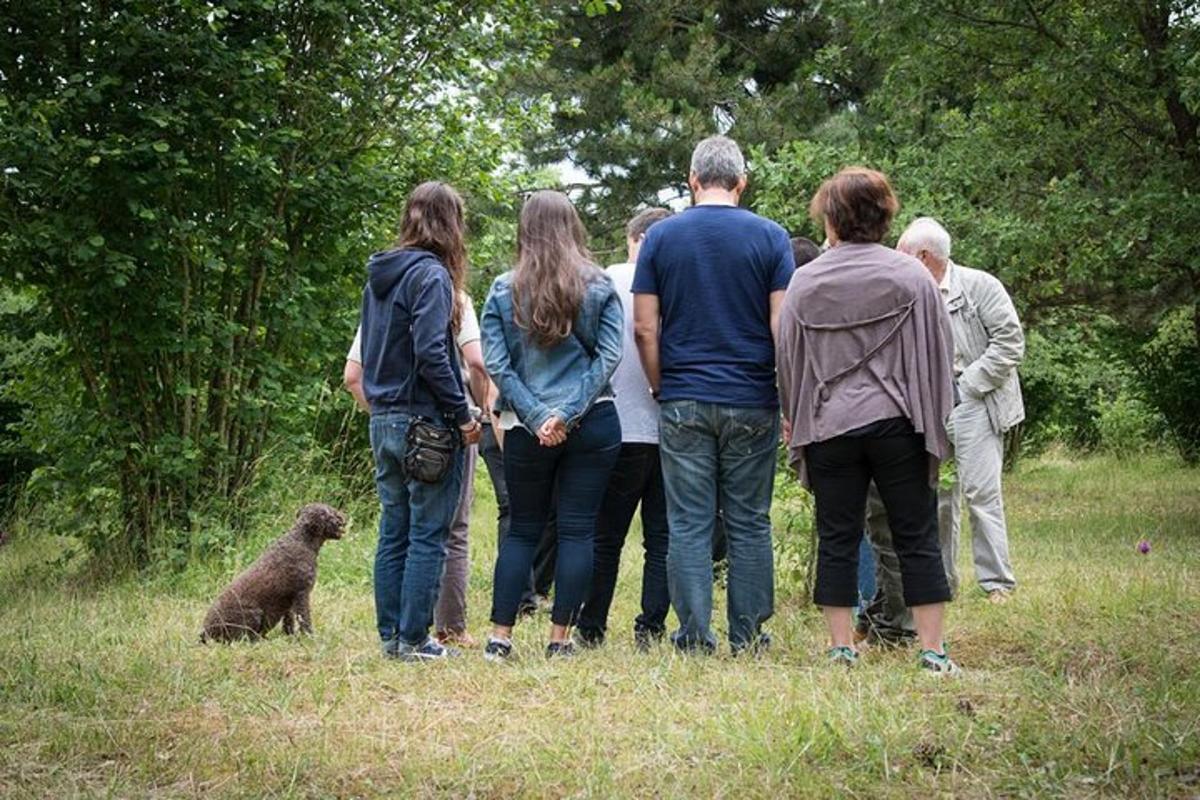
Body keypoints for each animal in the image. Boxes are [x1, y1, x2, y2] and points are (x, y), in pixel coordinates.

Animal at [199, 501, 345, 642]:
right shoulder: (301, 594)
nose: (344, 517)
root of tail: (204, 632)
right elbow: (305, 620)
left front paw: (290, 637)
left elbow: (289, 622)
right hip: (254, 615)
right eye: (330, 512)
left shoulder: (290, 601)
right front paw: (310, 639)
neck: (302, 540)